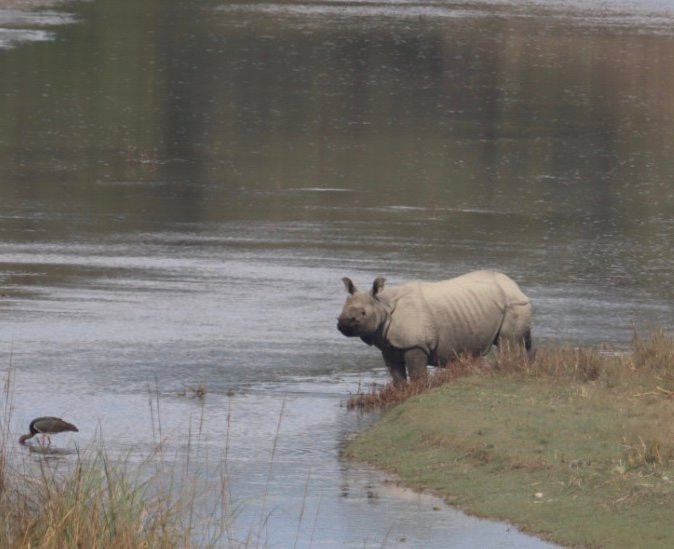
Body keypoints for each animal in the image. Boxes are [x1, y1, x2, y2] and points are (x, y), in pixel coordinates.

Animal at [337, 270, 533, 382]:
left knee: (508, 344)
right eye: (342, 309)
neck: (382, 306)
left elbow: (418, 376)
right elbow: (397, 378)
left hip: (514, 304)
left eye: (363, 314)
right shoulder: (388, 347)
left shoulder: (415, 344)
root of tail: (516, 287)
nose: (343, 322)